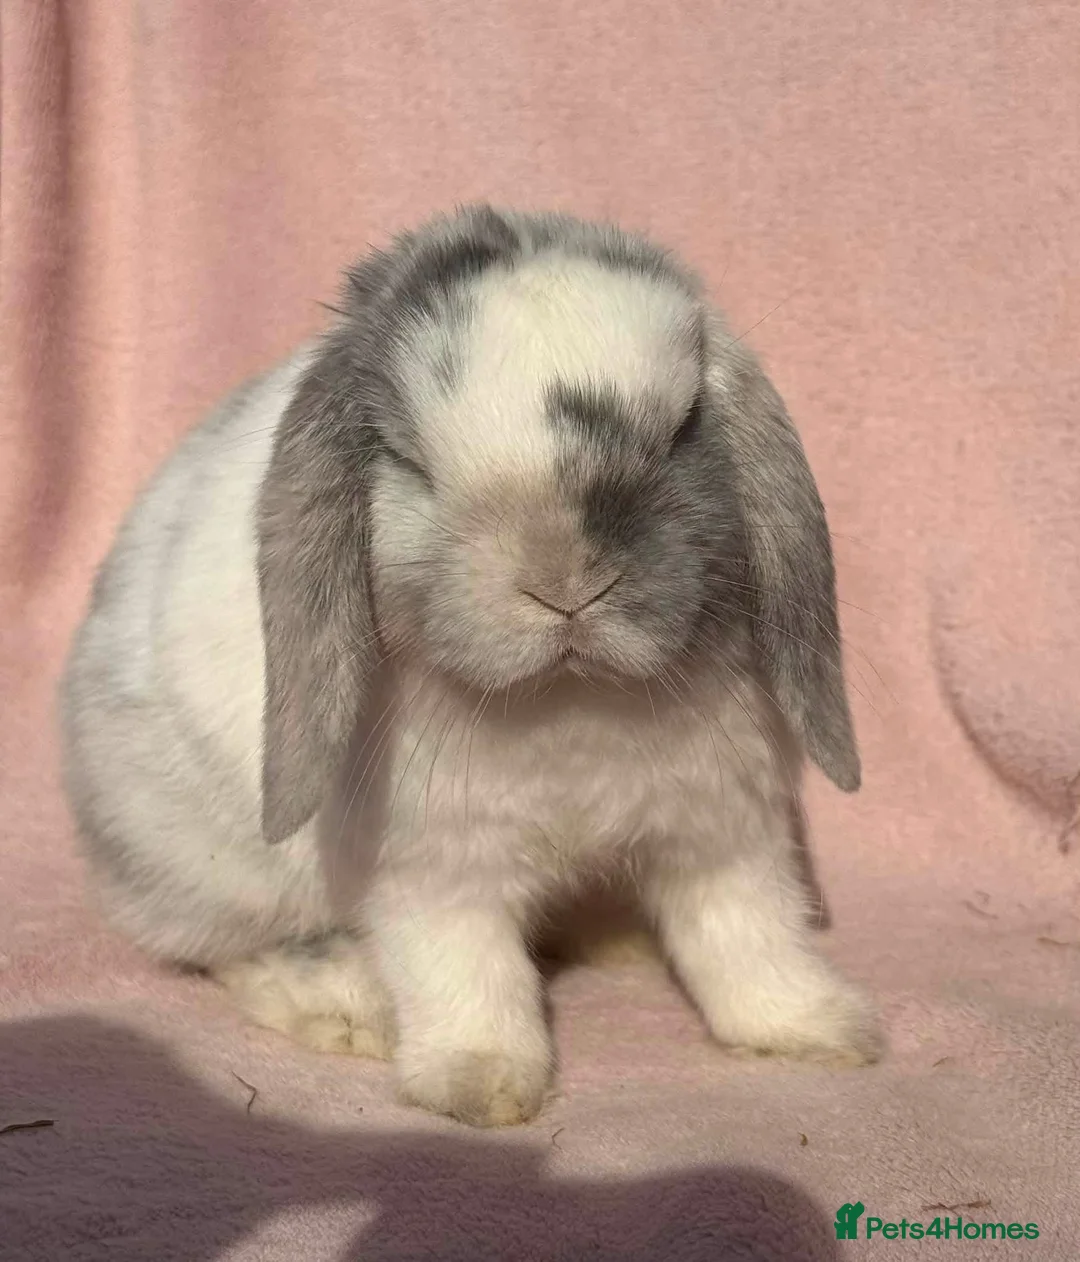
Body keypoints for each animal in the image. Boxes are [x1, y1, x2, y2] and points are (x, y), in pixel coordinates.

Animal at [59, 204, 882, 1128]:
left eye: (683, 430)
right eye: (411, 463)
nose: (565, 582)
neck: (569, 694)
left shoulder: (721, 833)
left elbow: (747, 935)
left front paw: (816, 1031)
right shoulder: (435, 872)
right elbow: (466, 972)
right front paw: (482, 1087)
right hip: (206, 867)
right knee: (224, 947)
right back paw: (340, 1003)